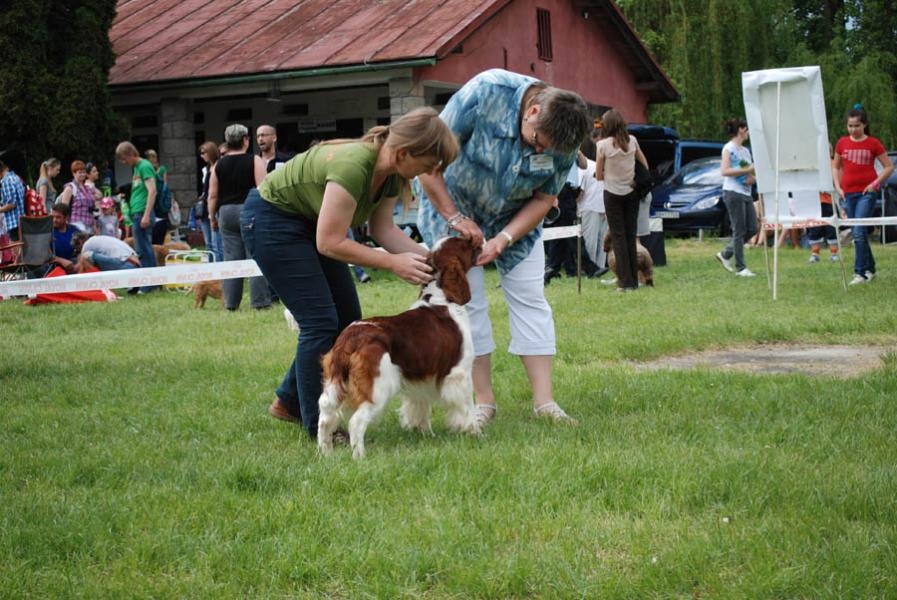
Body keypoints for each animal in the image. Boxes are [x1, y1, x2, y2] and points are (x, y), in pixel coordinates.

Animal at [316, 237, 484, 458]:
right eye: (465, 243)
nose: (480, 240)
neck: (441, 298)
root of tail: (350, 339)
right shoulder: (460, 374)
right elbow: (467, 408)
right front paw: (477, 434)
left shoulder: (421, 377)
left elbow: (420, 409)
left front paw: (427, 435)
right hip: (379, 387)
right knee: (356, 422)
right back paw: (360, 457)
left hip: (334, 382)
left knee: (325, 417)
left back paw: (325, 455)